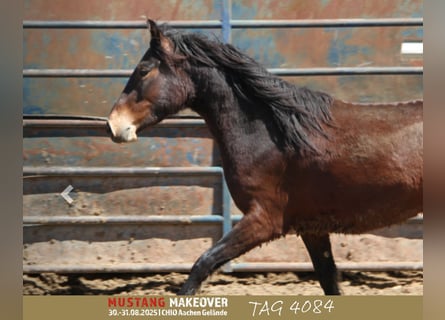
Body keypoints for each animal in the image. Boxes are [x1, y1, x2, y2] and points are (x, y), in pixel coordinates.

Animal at [106, 20, 422, 296]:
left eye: (144, 70)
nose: (113, 125)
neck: (272, 132)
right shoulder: (312, 229)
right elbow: (329, 282)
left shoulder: (263, 220)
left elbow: (202, 265)